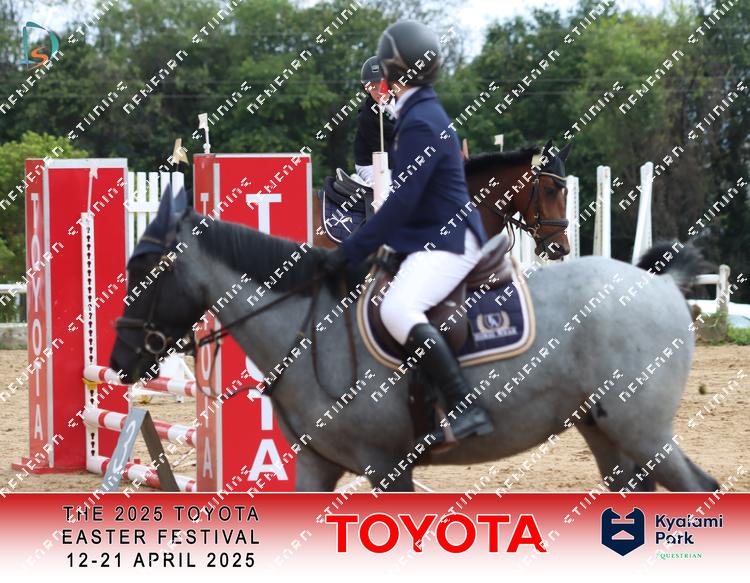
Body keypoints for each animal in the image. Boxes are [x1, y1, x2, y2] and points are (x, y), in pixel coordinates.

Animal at [109, 187, 719, 493]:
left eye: (145, 268)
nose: (118, 361)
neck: (310, 329)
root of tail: (661, 282)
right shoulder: (317, 466)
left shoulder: (387, 467)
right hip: (607, 434)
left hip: (644, 433)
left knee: (699, 488)